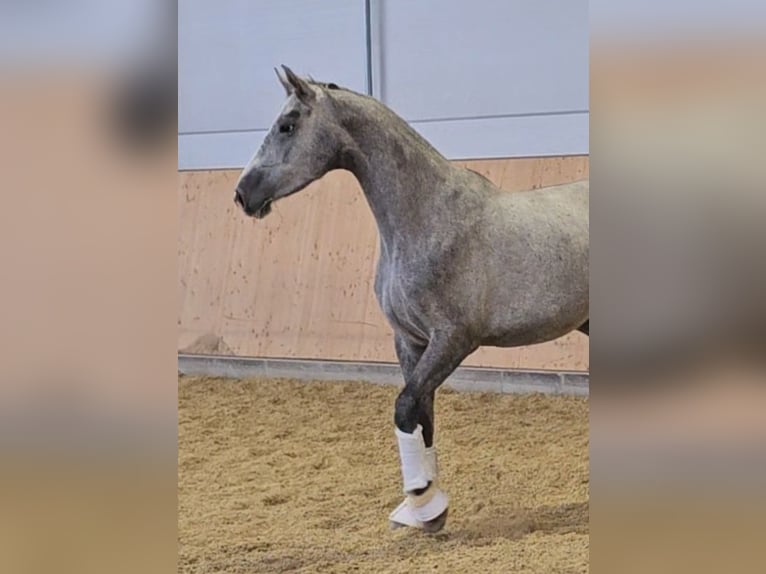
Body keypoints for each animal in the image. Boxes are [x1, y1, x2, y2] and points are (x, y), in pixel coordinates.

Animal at [237, 66, 592, 536]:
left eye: (287, 125)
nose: (243, 194)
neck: (426, 216)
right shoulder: (410, 340)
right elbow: (423, 416)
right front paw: (428, 512)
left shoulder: (453, 340)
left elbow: (405, 407)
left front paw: (422, 497)